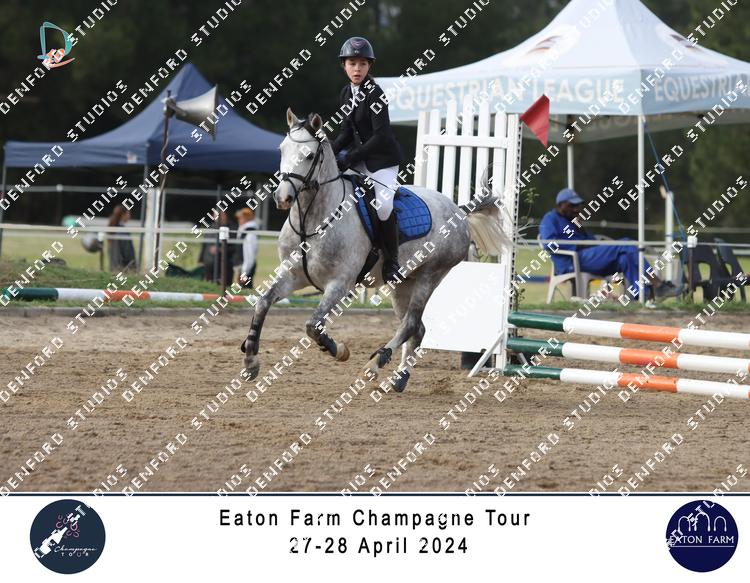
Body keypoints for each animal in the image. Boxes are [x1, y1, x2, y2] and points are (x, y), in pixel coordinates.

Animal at [240, 108, 508, 393]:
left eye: (310, 155)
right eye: (282, 149)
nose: (283, 198)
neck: (312, 220)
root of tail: (458, 210)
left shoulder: (339, 284)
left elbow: (313, 325)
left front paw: (339, 350)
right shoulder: (293, 276)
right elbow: (263, 303)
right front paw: (251, 362)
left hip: (430, 275)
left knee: (410, 324)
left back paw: (375, 364)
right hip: (403, 284)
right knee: (417, 328)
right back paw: (399, 378)